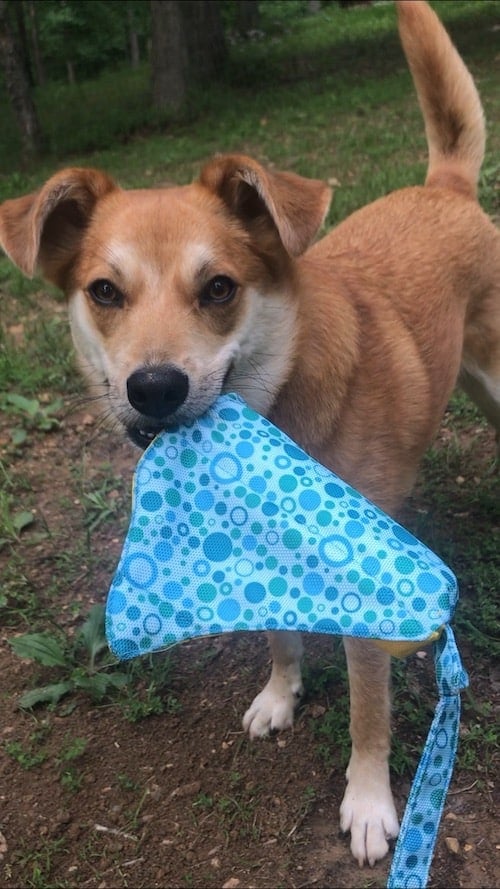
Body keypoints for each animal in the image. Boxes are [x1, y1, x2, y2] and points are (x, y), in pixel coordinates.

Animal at [0, 0, 500, 868]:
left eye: (219, 287)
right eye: (104, 291)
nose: (154, 387)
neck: (283, 406)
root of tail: (443, 187)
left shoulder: (368, 606)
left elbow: (368, 707)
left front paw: (369, 802)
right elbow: (277, 637)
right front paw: (279, 692)